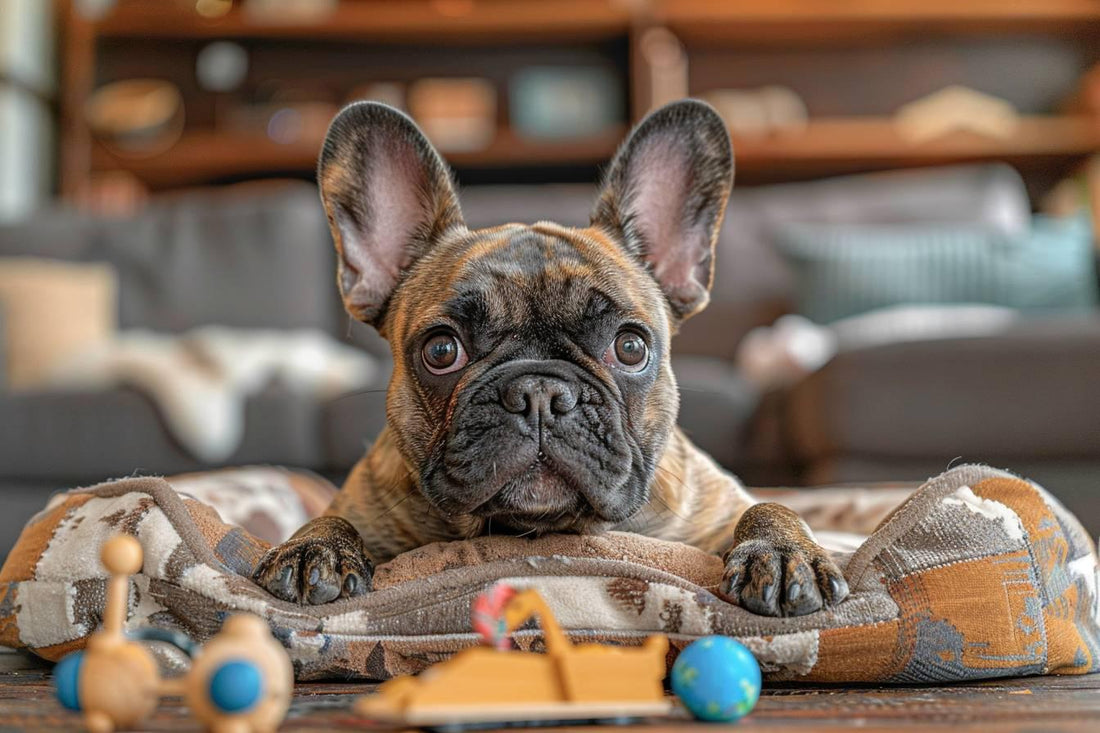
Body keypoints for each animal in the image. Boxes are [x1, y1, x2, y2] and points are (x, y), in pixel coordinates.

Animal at [253, 95, 844, 611]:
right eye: (441, 350)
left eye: (630, 346)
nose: (539, 392)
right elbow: (330, 517)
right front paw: (314, 548)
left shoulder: (717, 508)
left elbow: (769, 504)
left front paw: (783, 554)